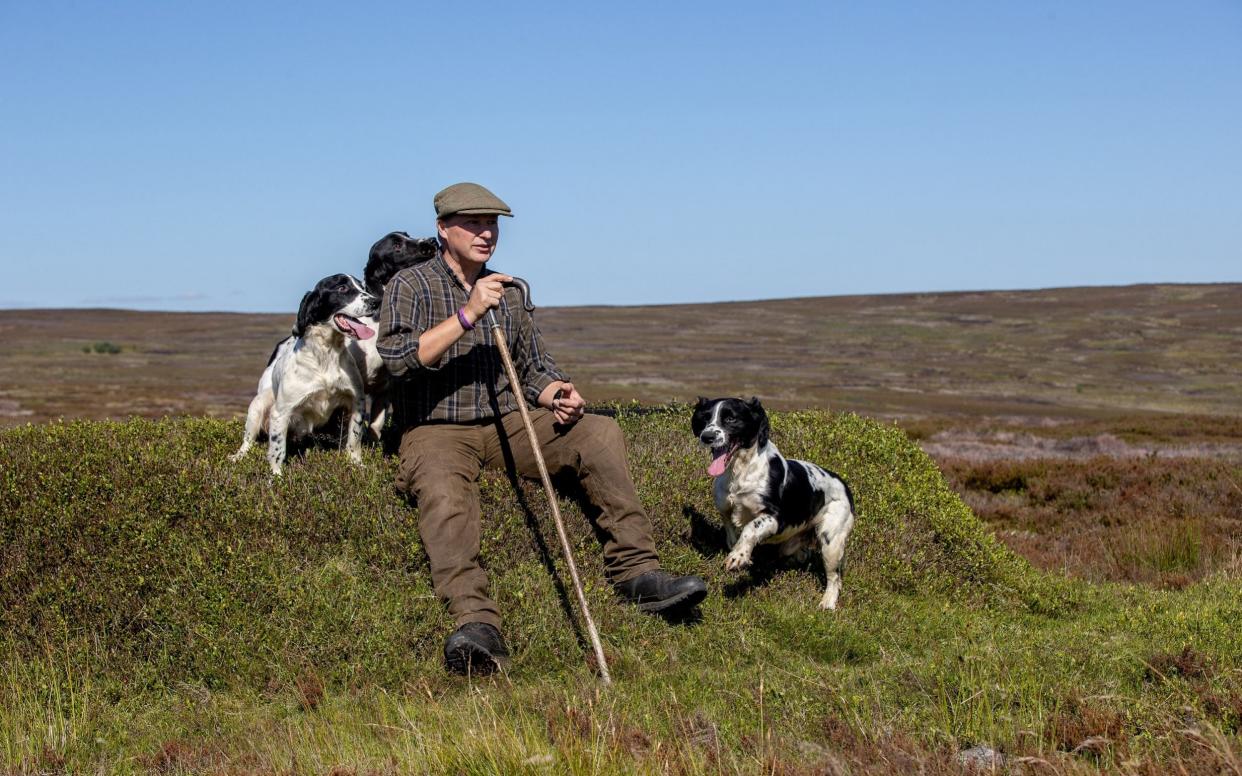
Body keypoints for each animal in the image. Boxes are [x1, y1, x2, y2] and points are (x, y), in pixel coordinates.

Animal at [232, 275, 377, 474]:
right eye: (342, 288)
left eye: (362, 286)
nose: (375, 301)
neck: (326, 354)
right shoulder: (281, 412)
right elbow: (277, 449)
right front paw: (276, 476)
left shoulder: (357, 402)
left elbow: (354, 440)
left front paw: (356, 464)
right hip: (259, 404)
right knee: (248, 441)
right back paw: (238, 457)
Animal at [690, 397, 854, 608]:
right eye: (705, 417)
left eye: (731, 419)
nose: (707, 436)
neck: (740, 471)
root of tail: (844, 485)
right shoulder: (725, 508)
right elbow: (731, 533)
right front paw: (740, 552)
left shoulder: (776, 518)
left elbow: (750, 528)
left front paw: (737, 558)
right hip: (794, 542)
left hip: (831, 539)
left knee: (835, 577)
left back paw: (827, 603)